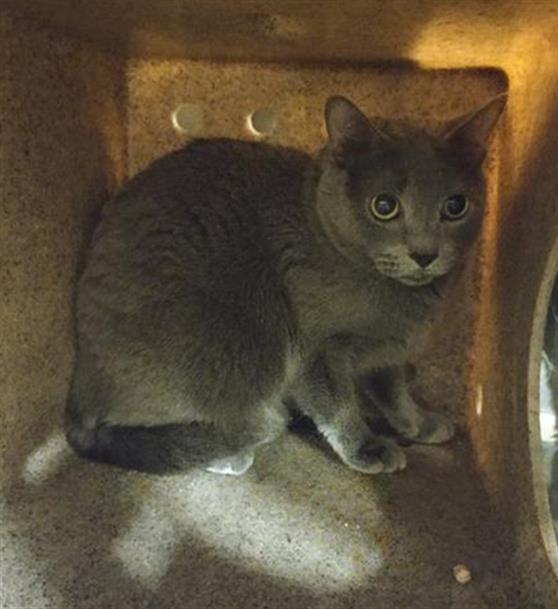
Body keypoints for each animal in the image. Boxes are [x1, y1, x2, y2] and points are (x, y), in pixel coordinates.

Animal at [64, 94, 508, 476]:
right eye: (384, 206)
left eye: (455, 206)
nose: (424, 253)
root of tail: (80, 384)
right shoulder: (317, 351)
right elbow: (338, 406)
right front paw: (367, 449)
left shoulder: (389, 352)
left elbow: (395, 393)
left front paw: (420, 424)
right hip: (241, 350)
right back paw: (229, 454)